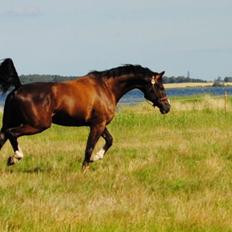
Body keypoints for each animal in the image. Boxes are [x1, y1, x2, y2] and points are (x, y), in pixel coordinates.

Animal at [0, 58, 170, 170]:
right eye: (160, 86)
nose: (167, 107)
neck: (106, 88)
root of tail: (17, 89)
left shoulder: (100, 124)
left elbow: (110, 140)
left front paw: (96, 157)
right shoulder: (97, 125)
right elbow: (89, 147)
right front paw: (85, 168)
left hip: (13, 122)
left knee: (3, 136)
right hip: (37, 125)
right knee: (12, 133)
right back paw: (15, 157)